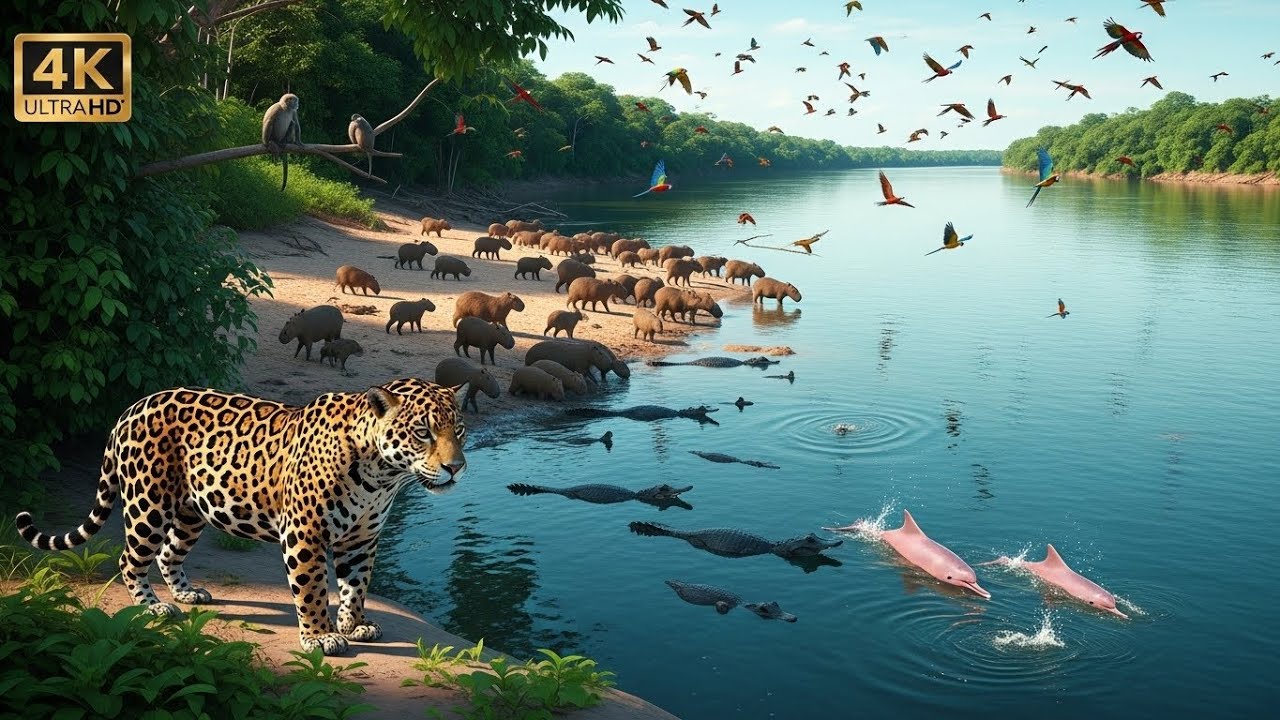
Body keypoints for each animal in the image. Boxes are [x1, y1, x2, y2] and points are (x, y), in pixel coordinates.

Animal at [15, 377, 467, 656]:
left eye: (458, 431)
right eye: (423, 432)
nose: (456, 467)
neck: (381, 475)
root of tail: (131, 408)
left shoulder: (362, 539)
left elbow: (356, 586)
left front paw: (354, 624)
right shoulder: (304, 534)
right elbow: (312, 590)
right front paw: (320, 637)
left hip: (192, 510)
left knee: (168, 554)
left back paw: (186, 594)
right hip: (149, 504)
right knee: (131, 559)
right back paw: (153, 608)